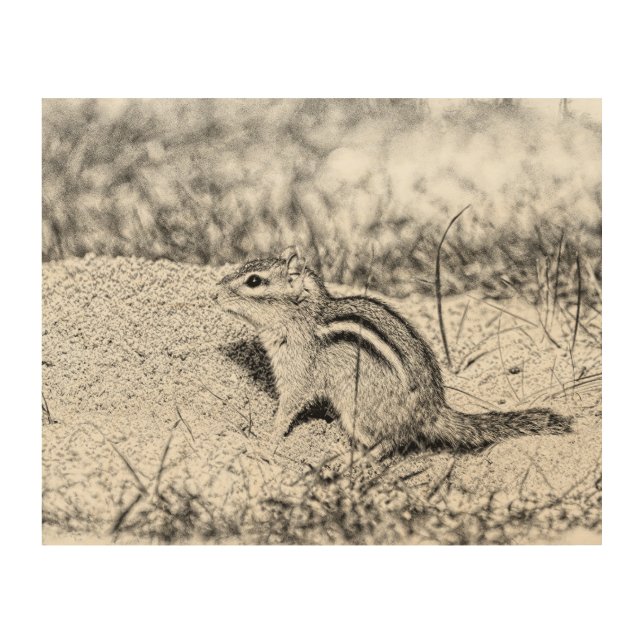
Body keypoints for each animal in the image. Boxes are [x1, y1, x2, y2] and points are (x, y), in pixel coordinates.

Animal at [214, 247, 571, 456]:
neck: (303, 316)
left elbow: (289, 406)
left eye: (254, 281)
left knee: (391, 442)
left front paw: (268, 438)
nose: (214, 293)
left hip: (356, 407)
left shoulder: (298, 370)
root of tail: (432, 411)